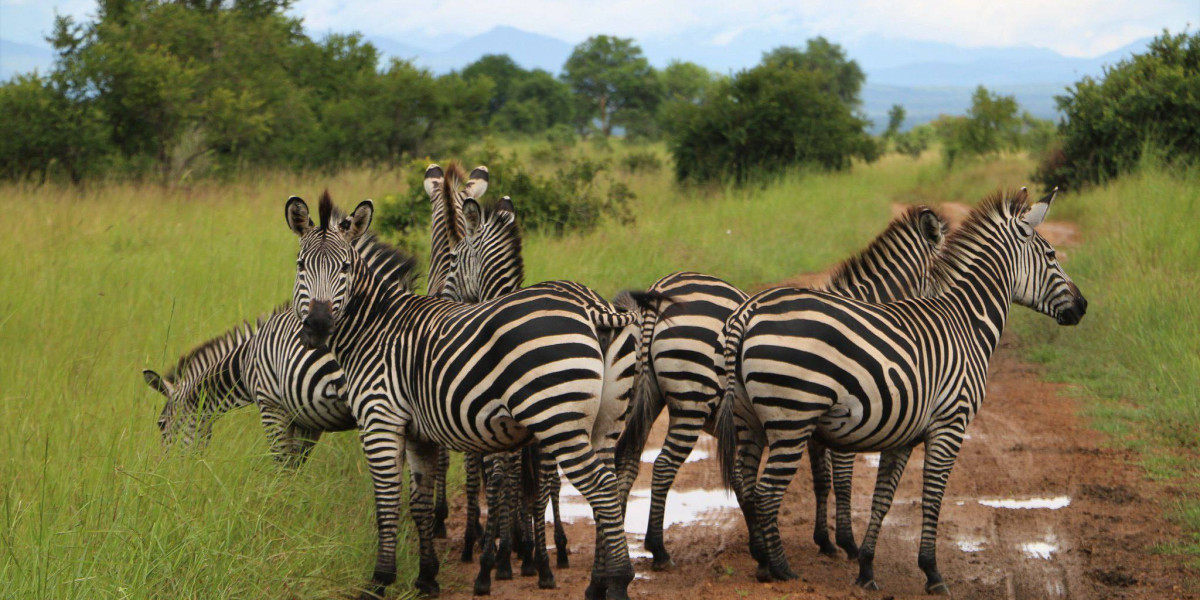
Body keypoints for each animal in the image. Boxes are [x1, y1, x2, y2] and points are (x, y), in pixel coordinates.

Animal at [143, 235, 417, 460]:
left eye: (161, 424)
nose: (165, 470)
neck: (246, 360)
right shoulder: (308, 417)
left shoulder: (272, 405)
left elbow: (283, 465)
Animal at [283, 191, 651, 600]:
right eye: (301, 266)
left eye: (345, 268)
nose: (317, 327)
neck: (374, 328)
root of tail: (593, 307)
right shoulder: (420, 433)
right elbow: (420, 503)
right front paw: (427, 577)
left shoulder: (380, 420)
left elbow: (388, 501)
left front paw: (380, 580)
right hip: (605, 422)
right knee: (609, 484)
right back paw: (599, 582)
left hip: (558, 421)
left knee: (599, 488)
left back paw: (618, 581)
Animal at [613, 206, 949, 570]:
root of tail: (660, 288)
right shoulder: (846, 417)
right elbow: (841, 480)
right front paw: (847, 542)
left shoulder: (815, 423)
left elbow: (821, 481)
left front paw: (824, 541)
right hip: (692, 399)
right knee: (662, 467)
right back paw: (658, 550)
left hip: (647, 397)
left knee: (628, 461)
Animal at [714, 188, 1086, 594]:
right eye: (1051, 255)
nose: (1083, 306)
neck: (966, 322)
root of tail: (749, 311)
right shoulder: (949, 426)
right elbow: (931, 498)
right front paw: (932, 572)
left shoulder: (903, 434)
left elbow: (882, 499)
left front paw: (865, 567)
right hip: (791, 419)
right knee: (766, 491)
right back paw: (781, 570)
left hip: (750, 419)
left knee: (746, 483)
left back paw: (763, 561)